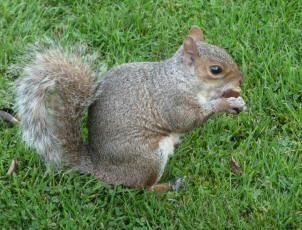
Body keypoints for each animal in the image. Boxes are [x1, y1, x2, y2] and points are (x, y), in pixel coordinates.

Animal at [15, 26, 245, 192]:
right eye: (215, 69)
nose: (241, 79)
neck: (182, 78)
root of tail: (100, 168)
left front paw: (235, 98)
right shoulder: (172, 100)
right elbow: (187, 120)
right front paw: (226, 104)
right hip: (149, 159)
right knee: (145, 188)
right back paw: (170, 186)